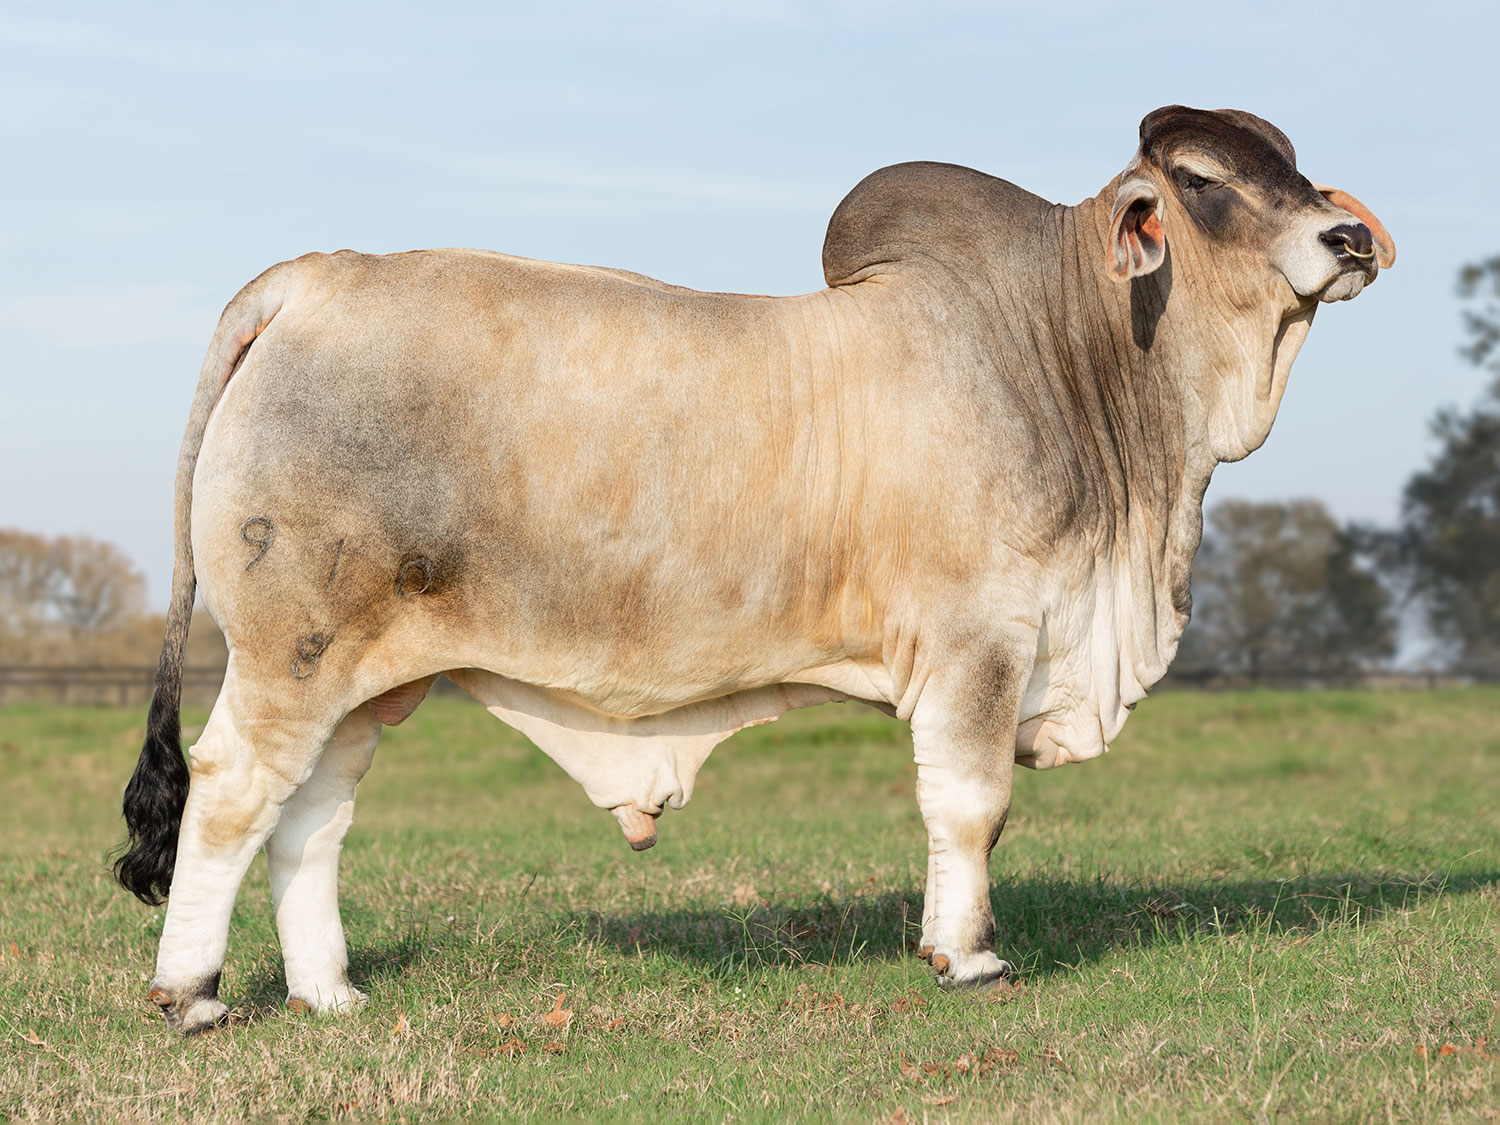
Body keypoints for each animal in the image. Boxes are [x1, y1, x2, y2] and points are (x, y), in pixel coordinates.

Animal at [117, 108, 1392, 1038]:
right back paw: (194, 997)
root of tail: (314, 277)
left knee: (311, 815)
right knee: (231, 792)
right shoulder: (980, 641)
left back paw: (331, 994)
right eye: (1204, 180)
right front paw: (971, 957)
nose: (1345, 241)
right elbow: (973, 803)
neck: (1074, 358)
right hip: (290, 650)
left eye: (1291, 165)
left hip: (364, 675)